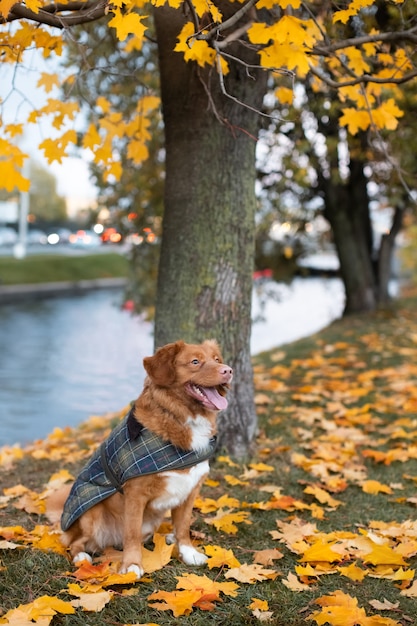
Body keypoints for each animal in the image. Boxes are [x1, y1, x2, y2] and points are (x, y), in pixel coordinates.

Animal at [48, 338, 234, 576]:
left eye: (217, 359)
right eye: (195, 361)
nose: (228, 370)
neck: (177, 417)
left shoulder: (191, 489)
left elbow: (183, 526)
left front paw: (188, 552)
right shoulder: (135, 494)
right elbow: (132, 533)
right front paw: (131, 565)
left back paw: (168, 537)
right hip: (92, 514)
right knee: (75, 542)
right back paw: (82, 556)